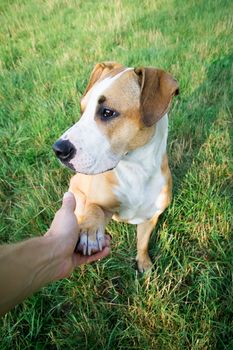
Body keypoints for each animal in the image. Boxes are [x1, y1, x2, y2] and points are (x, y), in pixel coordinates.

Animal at [52, 61, 179, 272]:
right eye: (82, 110)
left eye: (107, 112)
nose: (58, 149)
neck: (137, 171)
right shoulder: (101, 203)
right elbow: (94, 209)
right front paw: (89, 233)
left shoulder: (150, 217)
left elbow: (143, 243)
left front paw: (144, 263)